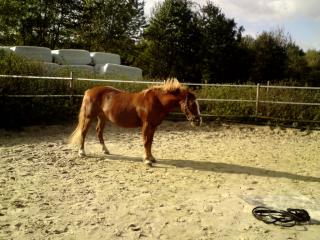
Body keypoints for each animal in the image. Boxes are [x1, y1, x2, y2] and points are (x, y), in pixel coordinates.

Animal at [69, 79, 201, 166]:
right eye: (191, 104)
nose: (198, 121)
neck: (157, 101)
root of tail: (89, 91)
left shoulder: (153, 126)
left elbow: (150, 141)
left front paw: (151, 158)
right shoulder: (146, 125)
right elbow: (146, 141)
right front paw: (147, 160)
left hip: (102, 118)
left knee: (99, 132)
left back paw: (105, 150)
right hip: (88, 117)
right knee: (84, 132)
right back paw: (82, 152)